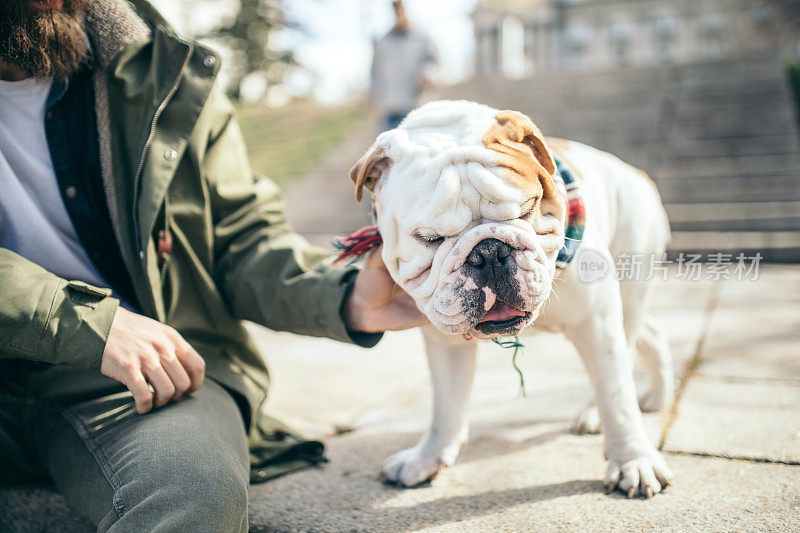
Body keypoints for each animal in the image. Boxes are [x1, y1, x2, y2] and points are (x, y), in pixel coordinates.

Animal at [350, 101, 676, 498]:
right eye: (429, 238)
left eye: (528, 209)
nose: (488, 252)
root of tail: (637, 174)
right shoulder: (445, 343)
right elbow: (447, 405)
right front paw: (428, 458)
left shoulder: (597, 321)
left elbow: (617, 397)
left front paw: (634, 460)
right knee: (649, 333)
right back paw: (655, 396)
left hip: (630, 281)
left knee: (624, 353)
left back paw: (600, 411)